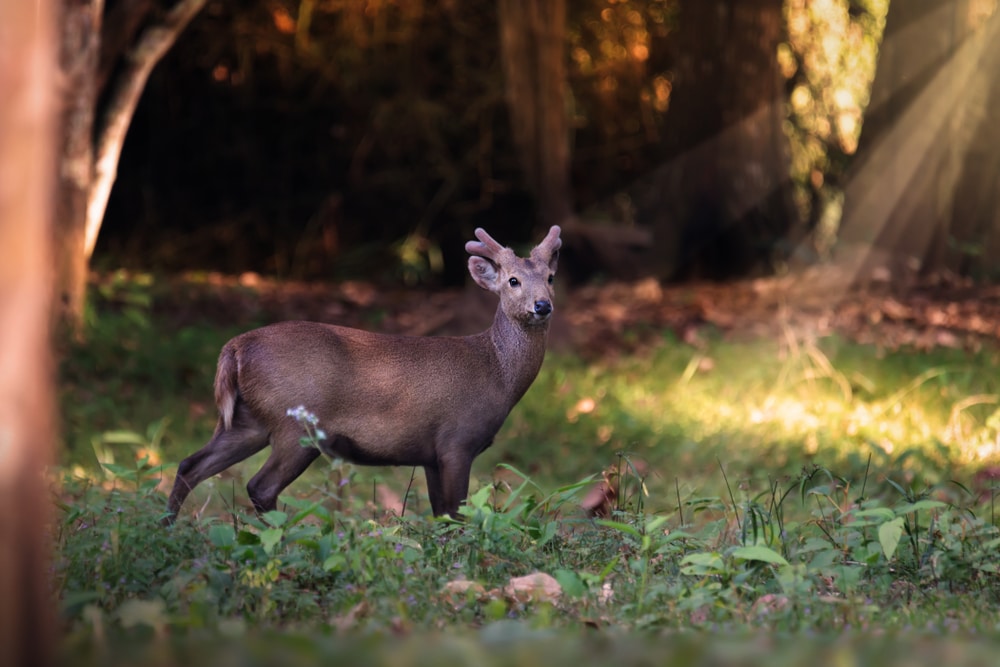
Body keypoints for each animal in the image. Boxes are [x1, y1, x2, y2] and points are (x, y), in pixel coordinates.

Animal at [164, 227, 564, 524]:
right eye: (513, 280)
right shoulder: (457, 440)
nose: (542, 305)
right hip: (295, 425)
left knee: (190, 464)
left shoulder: (430, 454)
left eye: (550, 277)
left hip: (247, 420)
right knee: (259, 486)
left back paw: (167, 529)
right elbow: (455, 515)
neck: (496, 372)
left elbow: (439, 516)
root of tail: (235, 347)